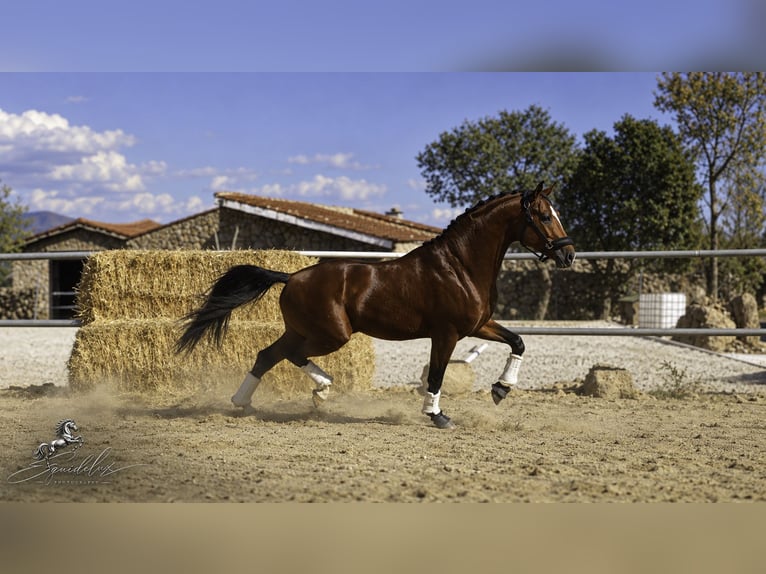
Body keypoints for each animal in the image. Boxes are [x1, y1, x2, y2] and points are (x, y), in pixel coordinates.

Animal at [177, 182, 575, 428]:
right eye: (544, 216)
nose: (569, 254)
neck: (459, 266)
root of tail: (291, 277)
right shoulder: (446, 333)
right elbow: (436, 374)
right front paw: (438, 416)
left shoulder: (477, 326)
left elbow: (518, 341)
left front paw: (500, 390)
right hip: (331, 334)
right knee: (287, 355)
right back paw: (322, 387)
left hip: (304, 331)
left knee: (267, 355)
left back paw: (245, 402)